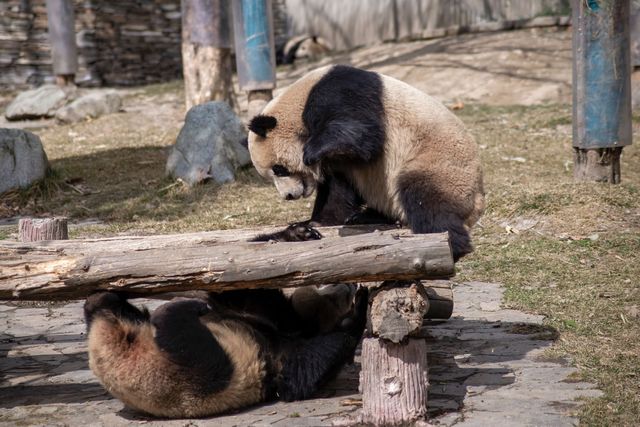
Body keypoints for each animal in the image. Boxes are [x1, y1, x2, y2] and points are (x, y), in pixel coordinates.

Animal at [85, 282, 364, 420]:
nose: (347, 285)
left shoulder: (279, 343)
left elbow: (297, 375)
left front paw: (355, 316)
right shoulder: (272, 323)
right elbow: (246, 295)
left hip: (196, 378)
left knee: (182, 339)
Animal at [248, 64, 482, 260]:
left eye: (278, 169)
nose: (288, 196)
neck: (297, 103)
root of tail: (477, 207)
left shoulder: (339, 91)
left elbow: (361, 132)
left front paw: (309, 153)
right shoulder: (339, 163)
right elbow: (337, 190)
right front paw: (314, 223)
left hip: (439, 163)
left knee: (426, 198)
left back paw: (451, 245)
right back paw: (365, 217)